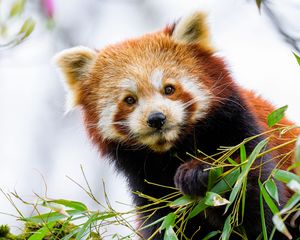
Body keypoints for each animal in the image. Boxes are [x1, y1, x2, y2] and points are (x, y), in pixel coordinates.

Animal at [55, 12, 298, 240]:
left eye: (169, 89)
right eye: (129, 100)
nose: (156, 118)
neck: (175, 151)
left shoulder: (242, 137)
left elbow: (259, 205)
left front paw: (198, 171)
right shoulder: (148, 187)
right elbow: (161, 225)